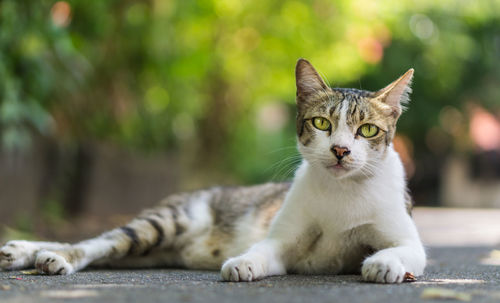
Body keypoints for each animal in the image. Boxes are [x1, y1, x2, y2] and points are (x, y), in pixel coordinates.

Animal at [0, 60, 426, 284]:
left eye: (367, 130)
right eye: (322, 123)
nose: (340, 150)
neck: (342, 193)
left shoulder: (406, 238)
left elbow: (405, 251)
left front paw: (384, 263)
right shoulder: (284, 241)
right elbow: (264, 249)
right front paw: (243, 262)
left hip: (149, 253)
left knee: (109, 250)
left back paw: (31, 252)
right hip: (167, 222)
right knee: (100, 241)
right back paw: (48, 255)